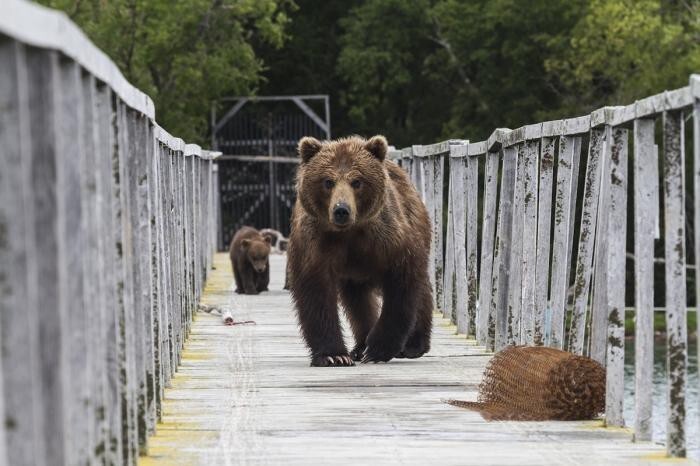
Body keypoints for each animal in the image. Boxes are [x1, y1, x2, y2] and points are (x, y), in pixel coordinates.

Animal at [286, 135, 432, 368]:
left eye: (357, 181)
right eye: (328, 181)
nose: (341, 210)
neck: (349, 232)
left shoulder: (389, 238)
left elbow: (402, 285)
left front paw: (378, 349)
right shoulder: (316, 243)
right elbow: (316, 294)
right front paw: (334, 355)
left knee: (421, 290)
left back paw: (412, 345)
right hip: (354, 275)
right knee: (358, 302)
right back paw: (359, 346)